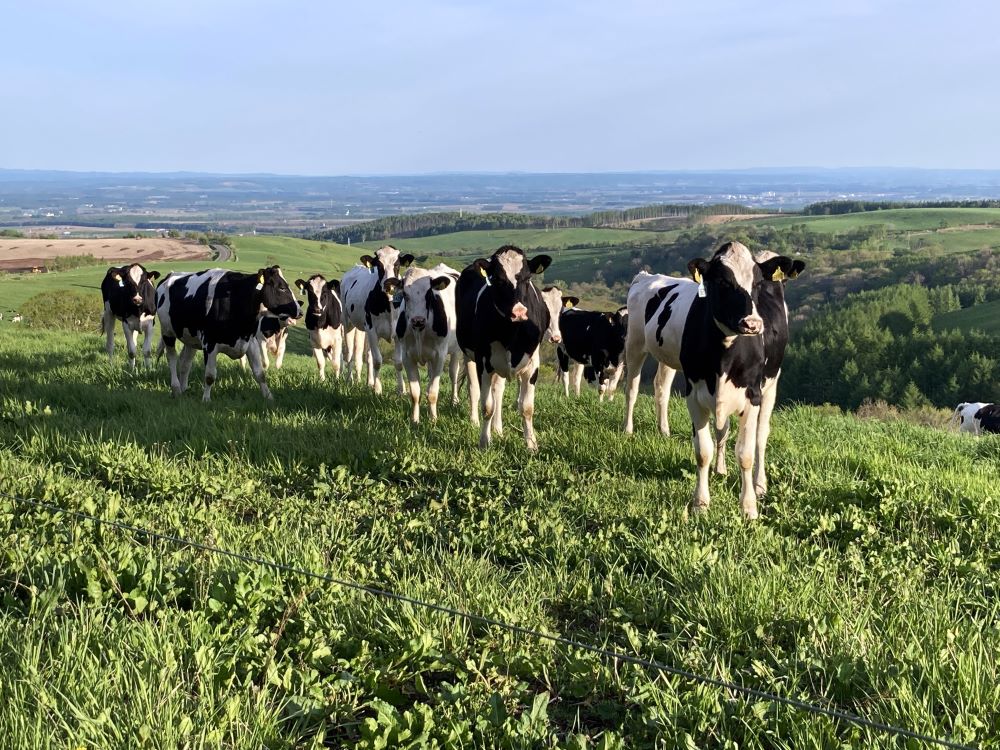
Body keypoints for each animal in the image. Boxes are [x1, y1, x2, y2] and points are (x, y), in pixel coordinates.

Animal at [154, 268, 302, 402]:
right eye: (281, 288)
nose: (300, 311)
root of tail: (171, 274)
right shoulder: (210, 344)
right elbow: (210, 376)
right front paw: (206, 399)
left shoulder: (251, 343)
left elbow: (260, 374)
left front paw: (269, 397)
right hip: (167, 331)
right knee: (172, 358)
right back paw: (176, 388)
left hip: (191, 338)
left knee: (185, 362)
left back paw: (184, 388)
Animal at [340, 248, 410, 400]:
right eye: (379, 265)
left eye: (397, 264)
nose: (390, 283)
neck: (388, 305)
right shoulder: (372, 330)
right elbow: (378, 360)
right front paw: (378, 390)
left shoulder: (398, 334)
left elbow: (398, 362)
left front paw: (401, 390)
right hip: (348, 323)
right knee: (349, 353)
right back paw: (349, 380)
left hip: (364, 330)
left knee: (368, 356)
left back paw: (369, 382)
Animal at [394, 262, 464, 424]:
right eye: (405, 294)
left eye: (429, 293)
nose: (417, 320)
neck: (419, 331)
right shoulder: (407, 356)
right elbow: (415, 393)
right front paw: (415, 420)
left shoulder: (440, 356)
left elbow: (433, 391)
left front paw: (433, 420)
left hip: (455, 351)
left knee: (453, 373)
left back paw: (454, 400)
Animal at [456, 247, 568, 452]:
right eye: (498, 279)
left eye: (527, 278)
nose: (519, 312)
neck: (511, 332)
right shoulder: (484, 363)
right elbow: (487, 406)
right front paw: (484, 442)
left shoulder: (532, 365)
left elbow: (526, 407)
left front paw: (531, 444)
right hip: (470, 356)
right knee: (474, 389)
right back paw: (475, 422)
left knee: (498, 391)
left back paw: (498, 429)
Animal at [620, 244, 800, 520]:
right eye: (722, 281)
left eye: (757, 283)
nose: (752, 324)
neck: (725, 354)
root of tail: (646, 276)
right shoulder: (694, 393)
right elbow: (703, 451)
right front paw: (700, 504)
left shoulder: (752, 396)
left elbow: (745, 453)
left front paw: (749, 507)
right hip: (636, 343)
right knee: (633, 387)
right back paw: (630, 429)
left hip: (769, 385)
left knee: (759, 434)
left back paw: (757, 483)